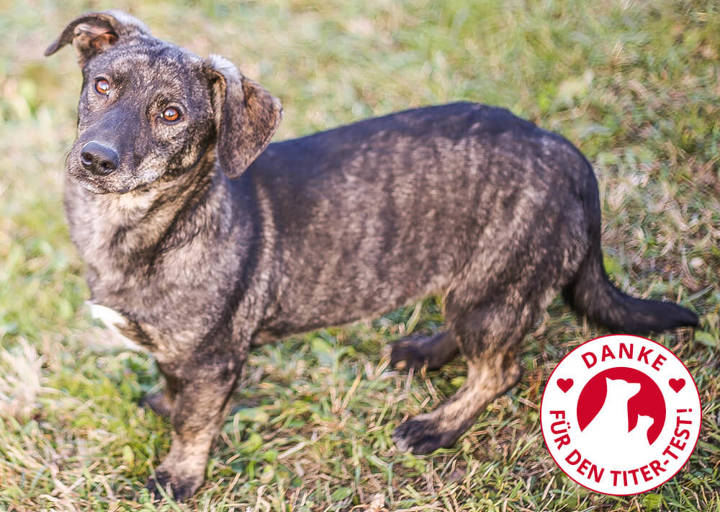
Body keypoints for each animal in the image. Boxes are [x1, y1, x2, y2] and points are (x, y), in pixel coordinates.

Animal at [45, 10, 699, 501]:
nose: (96, 158)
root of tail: (568, 152)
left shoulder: (214, 361)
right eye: (102, 86)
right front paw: (164, 401)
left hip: (495, 289)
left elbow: (195, 421)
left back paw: (436, 427)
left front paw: (179, 476)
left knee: (501, 370)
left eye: (172, 114)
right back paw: (425, 351)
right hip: (477, 283)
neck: (138, 227)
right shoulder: (182, 352)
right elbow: (172, 385)